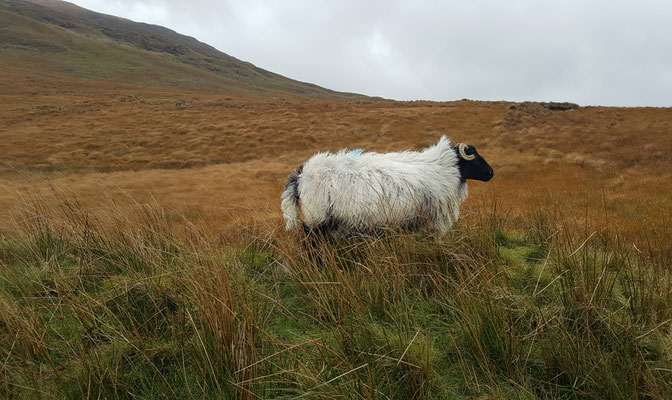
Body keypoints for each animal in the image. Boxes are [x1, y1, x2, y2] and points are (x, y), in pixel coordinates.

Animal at [280, 137, 494, 238]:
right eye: (474, 155)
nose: (491, 173)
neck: (443, 167)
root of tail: (301, 173)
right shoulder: (431, 218)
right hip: (317, 216)